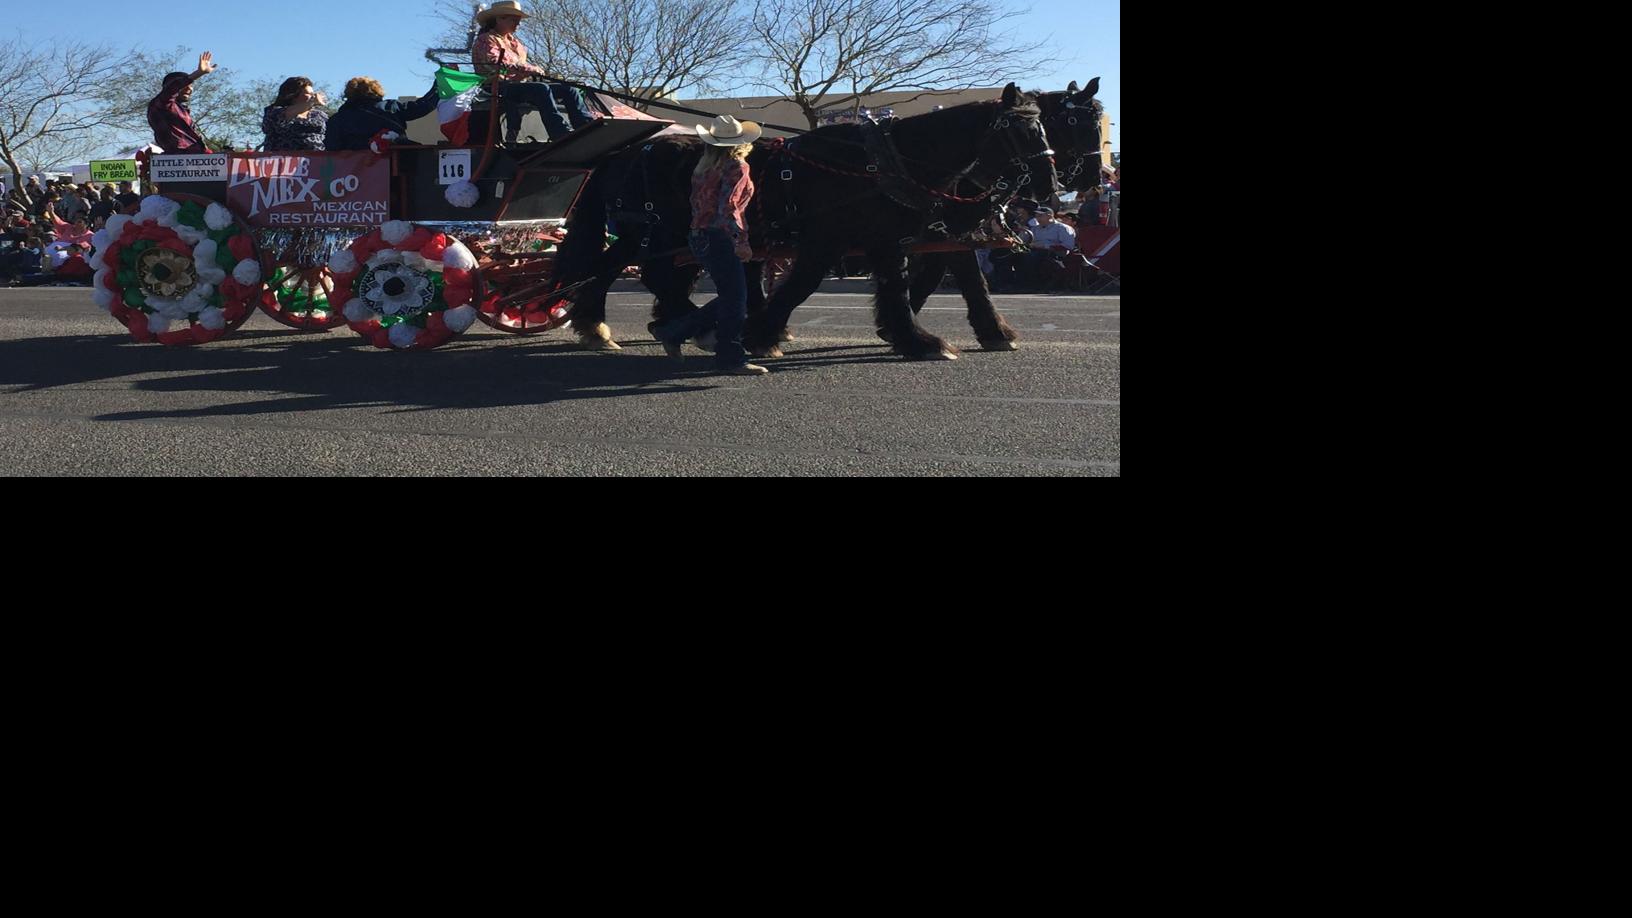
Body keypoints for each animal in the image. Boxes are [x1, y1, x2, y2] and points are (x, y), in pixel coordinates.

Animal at [551, 82, 1057, 357]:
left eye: (1047, 127)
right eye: (1021, 131)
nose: (1050, 185)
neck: (879, 165)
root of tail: (624, 153)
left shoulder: (890, 239)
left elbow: (907, 286)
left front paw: (913, 336)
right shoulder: (829, 239)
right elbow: (803, 285)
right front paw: (763, 332)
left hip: (649, 235)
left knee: (620, 272)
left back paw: (614, 327)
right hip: (656, 233)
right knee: (641, 275)